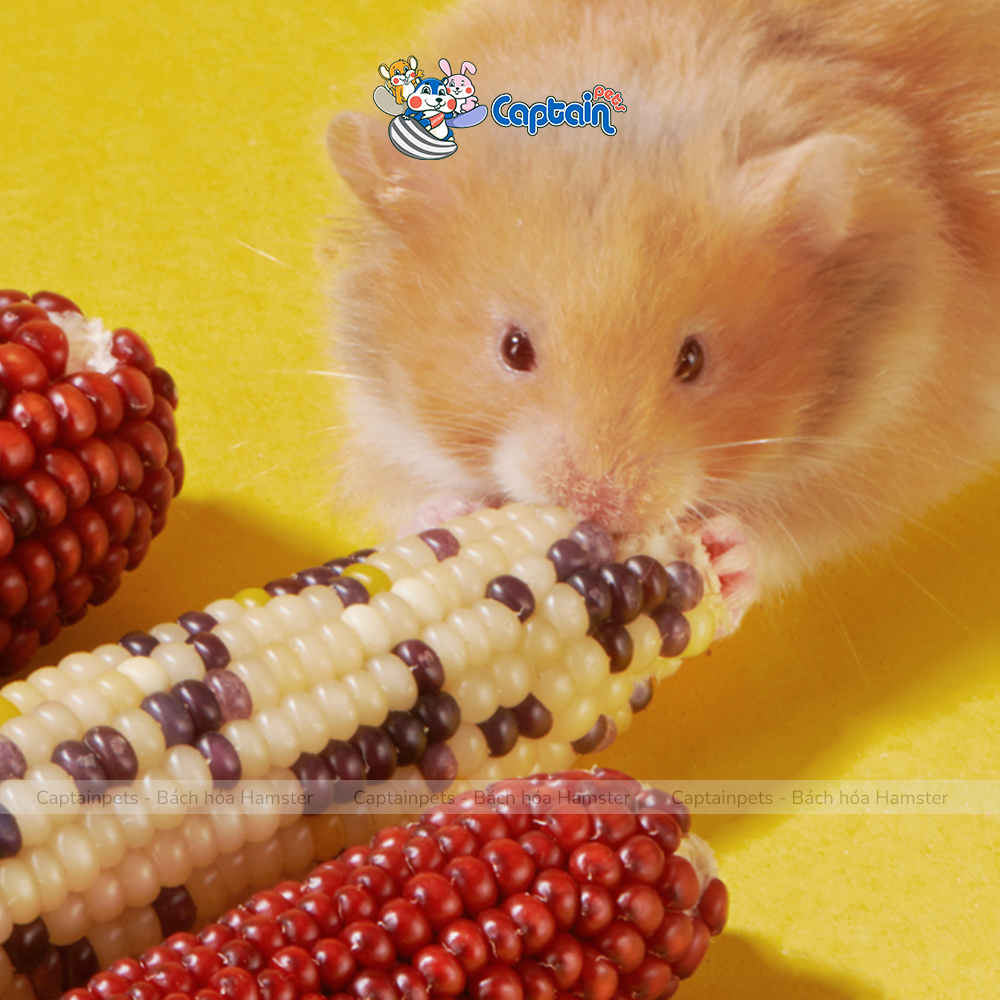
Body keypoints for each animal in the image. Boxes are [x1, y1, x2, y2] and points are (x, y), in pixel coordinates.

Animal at [325, 0, 1000, 628]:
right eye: (514, 349)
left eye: (692, 360)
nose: (602, 511)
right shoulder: (383, 417)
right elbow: (412, 493)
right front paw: (450, 514)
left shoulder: (885, 439)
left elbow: (792, 529)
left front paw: (727, 553)